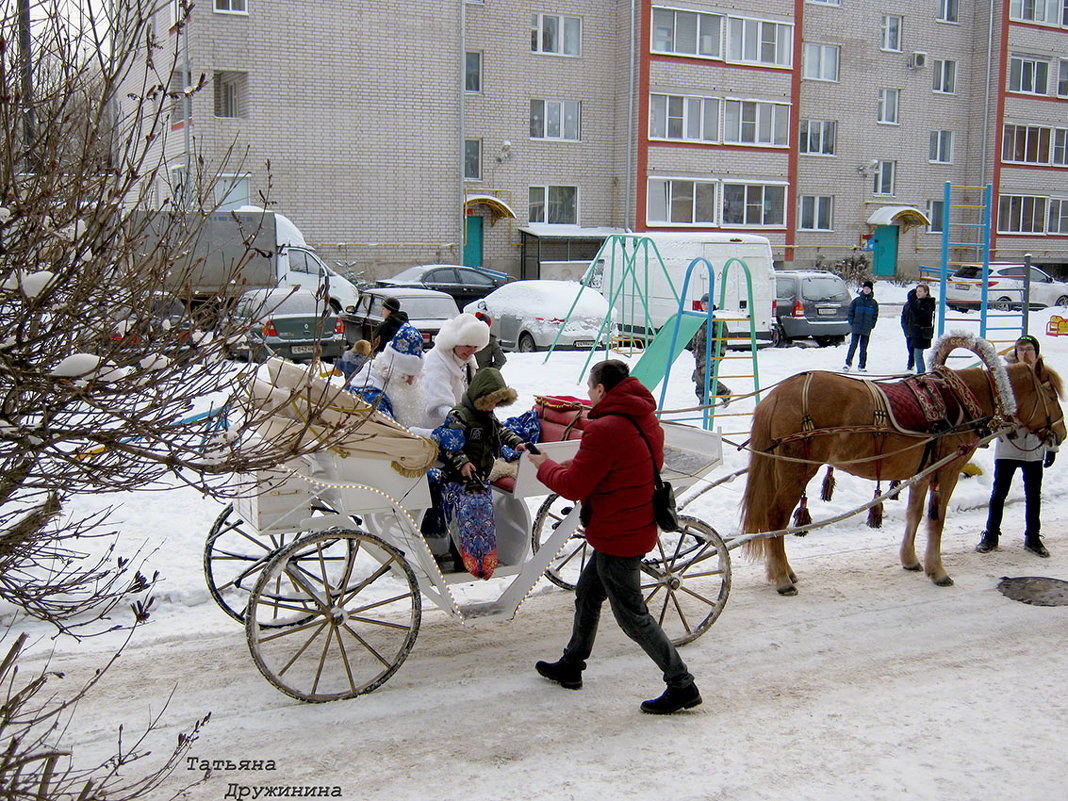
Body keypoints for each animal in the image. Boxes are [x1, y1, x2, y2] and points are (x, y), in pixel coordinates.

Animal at [739, 356, 1063, 598]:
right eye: (1050, 394)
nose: (1061, 433)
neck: (962, 399)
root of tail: (778, 394)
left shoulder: (923, 472)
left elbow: (915, 514)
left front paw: (910, 560)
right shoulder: (948, 470)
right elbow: (936, 520)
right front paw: (938, 571)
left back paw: (784, 571)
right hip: (796, 469)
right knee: (776, 518)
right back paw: (782, 578)